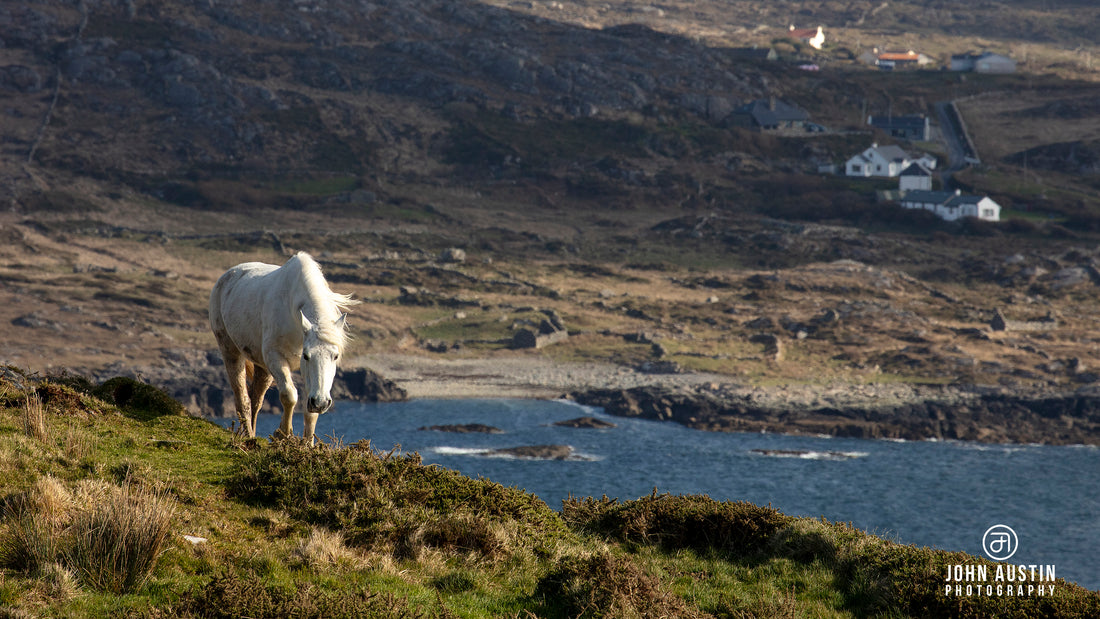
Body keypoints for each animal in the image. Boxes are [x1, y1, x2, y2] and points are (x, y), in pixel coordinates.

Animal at [207, 252, 358, 446]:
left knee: (256, 399)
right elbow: (289, 395)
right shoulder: (276, 358)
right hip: (231, 352)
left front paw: (307, 444)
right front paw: (283, 434)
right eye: (307, 356)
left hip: (263, 368)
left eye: (336, 356)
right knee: (243, 399)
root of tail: (226, 277)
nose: (321, 403)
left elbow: (310, 412)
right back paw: (248, 436)